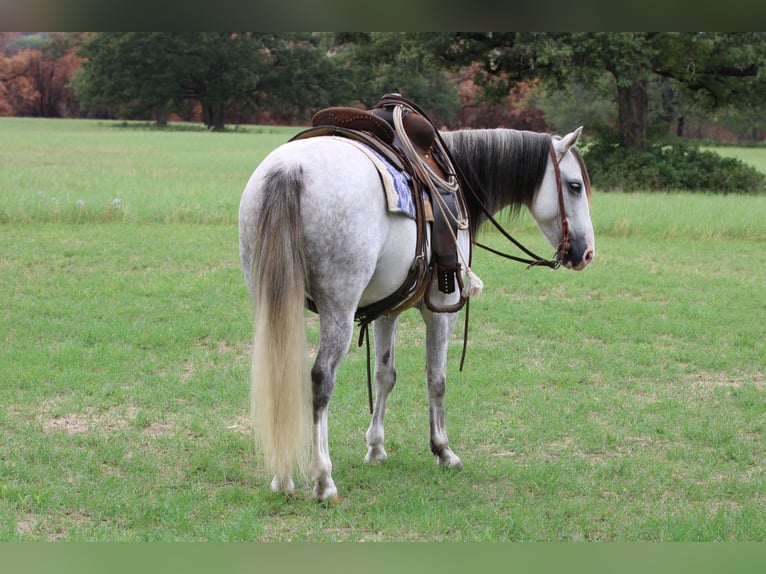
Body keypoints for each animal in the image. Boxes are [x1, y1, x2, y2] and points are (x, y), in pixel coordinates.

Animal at [237, 124, 596, 502]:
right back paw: (323, 480)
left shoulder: (385, 311)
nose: (587, 253)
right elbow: (436, 379)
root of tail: (291, 169)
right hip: (339, 307)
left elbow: (385, 375)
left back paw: (282, 477)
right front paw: (444, 451)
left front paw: (375, 448)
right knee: (321, 378)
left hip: (273, 302)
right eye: (574, 186)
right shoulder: (441, 309)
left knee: (280, 372)